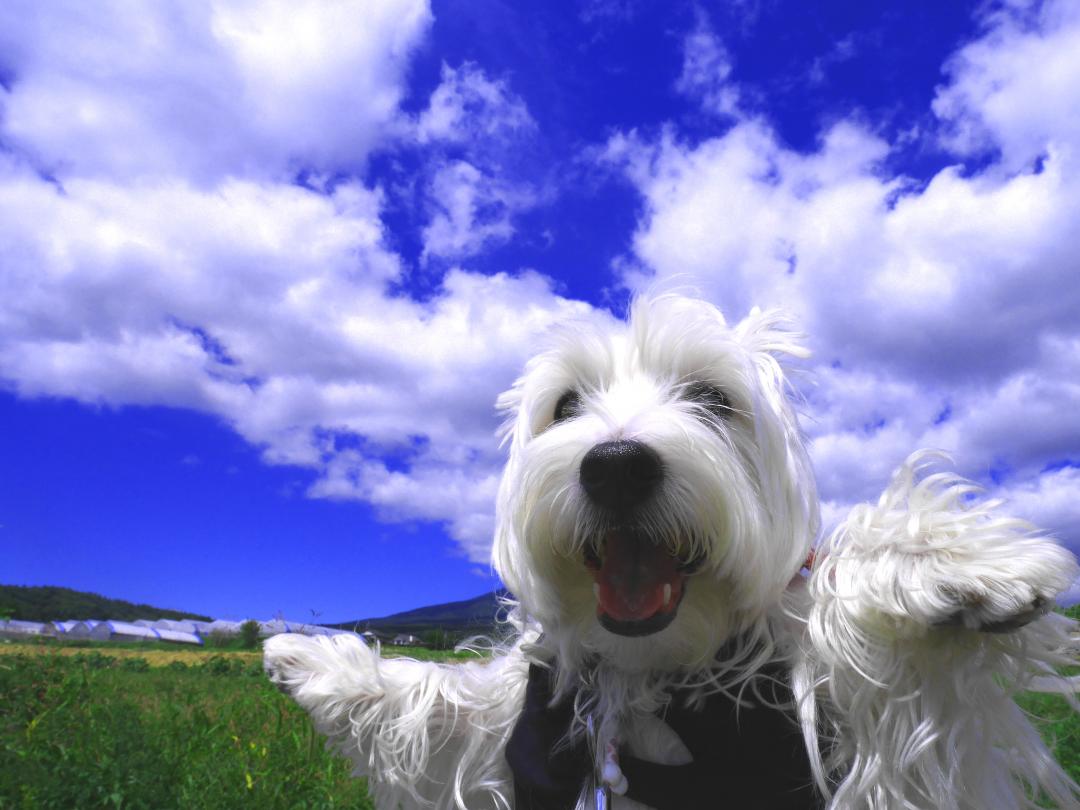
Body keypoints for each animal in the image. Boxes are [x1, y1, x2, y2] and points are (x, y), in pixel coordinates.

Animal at [263, 295, 1080, 810]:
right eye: (566, 405)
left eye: (713, 399)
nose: (615, 466)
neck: (650, 666)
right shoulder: (526, 723)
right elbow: (446, 706)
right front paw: (321, 664)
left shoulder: (895, 743)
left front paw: (949, 564)